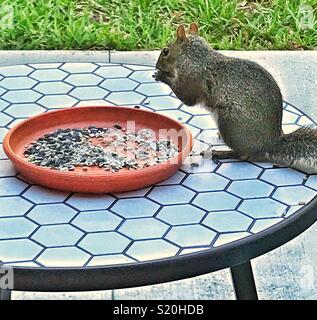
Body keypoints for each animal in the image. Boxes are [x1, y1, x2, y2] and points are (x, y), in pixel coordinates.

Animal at [153, 22, 316, 174]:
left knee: (243, 155)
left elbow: (186, 97)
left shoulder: (191, 79)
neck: (196, 57)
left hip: (230, 124)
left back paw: (219, 153)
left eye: (165, 51)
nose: (157, 65)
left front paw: (162, 76)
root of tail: (270, 143)